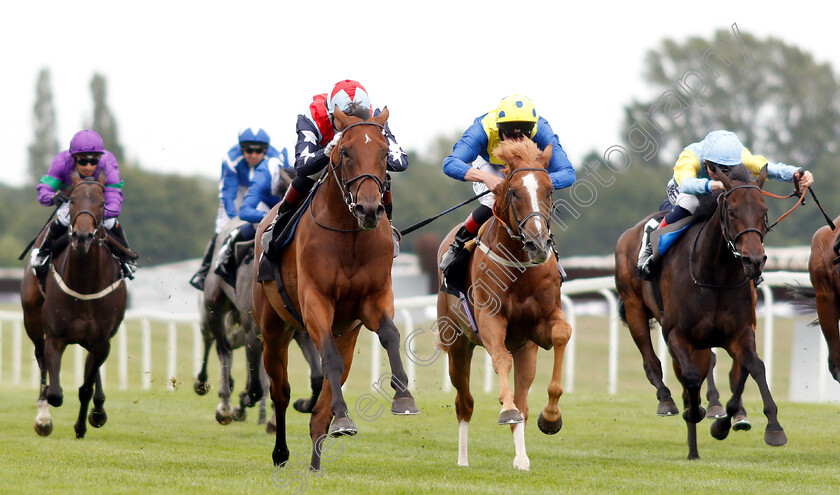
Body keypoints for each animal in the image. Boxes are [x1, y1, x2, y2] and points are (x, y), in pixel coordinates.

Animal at [19, 170, 127, 438]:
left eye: (102, 203)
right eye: (74, 200)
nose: (82, 237)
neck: (85, 285)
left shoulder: (102, 340)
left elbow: (86, 386)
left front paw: (85, 422)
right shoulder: (55, 336)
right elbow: (56, 393)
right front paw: (45, 417)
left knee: (91, 365)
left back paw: (98, 409)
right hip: (32, 320)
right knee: (40, 358)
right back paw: (43, 414)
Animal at [251, 106, 418, 470]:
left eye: (385, 152)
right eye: (345, 152)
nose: (369, 210)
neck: (349, 235)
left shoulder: (374, 299)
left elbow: (391, 334)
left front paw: (403, 396)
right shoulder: (317, 302)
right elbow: (327, 358)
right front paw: (344, 418)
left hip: (347, 334)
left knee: (321, 408)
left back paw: (315, 463)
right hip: (273, 329)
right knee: (281, 392)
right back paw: (281, 453)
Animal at [434, 140, 572, 472]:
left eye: (549, 190)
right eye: (513, 192)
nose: (537, 244)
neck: (520, 266)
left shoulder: (540, 327)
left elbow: (562, 334)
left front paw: (551, 417)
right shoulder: (489, 321)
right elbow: (500, 360)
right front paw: (505, 408)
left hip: (526, 351)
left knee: (523, 402)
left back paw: (521, 458)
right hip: (456, 345)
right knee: (465, 402)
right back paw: (463, 460)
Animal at [612, 165, 784, 460]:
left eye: (764, 211)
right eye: (731, 212)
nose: (754, 260)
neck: (714, 275)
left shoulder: (739, 333)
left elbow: (753, 368)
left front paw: (767, 426)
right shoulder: (676, 334)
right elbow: (692, 378)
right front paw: (696, 412)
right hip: (634, 308)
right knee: (652, 361)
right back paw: (667, 401)